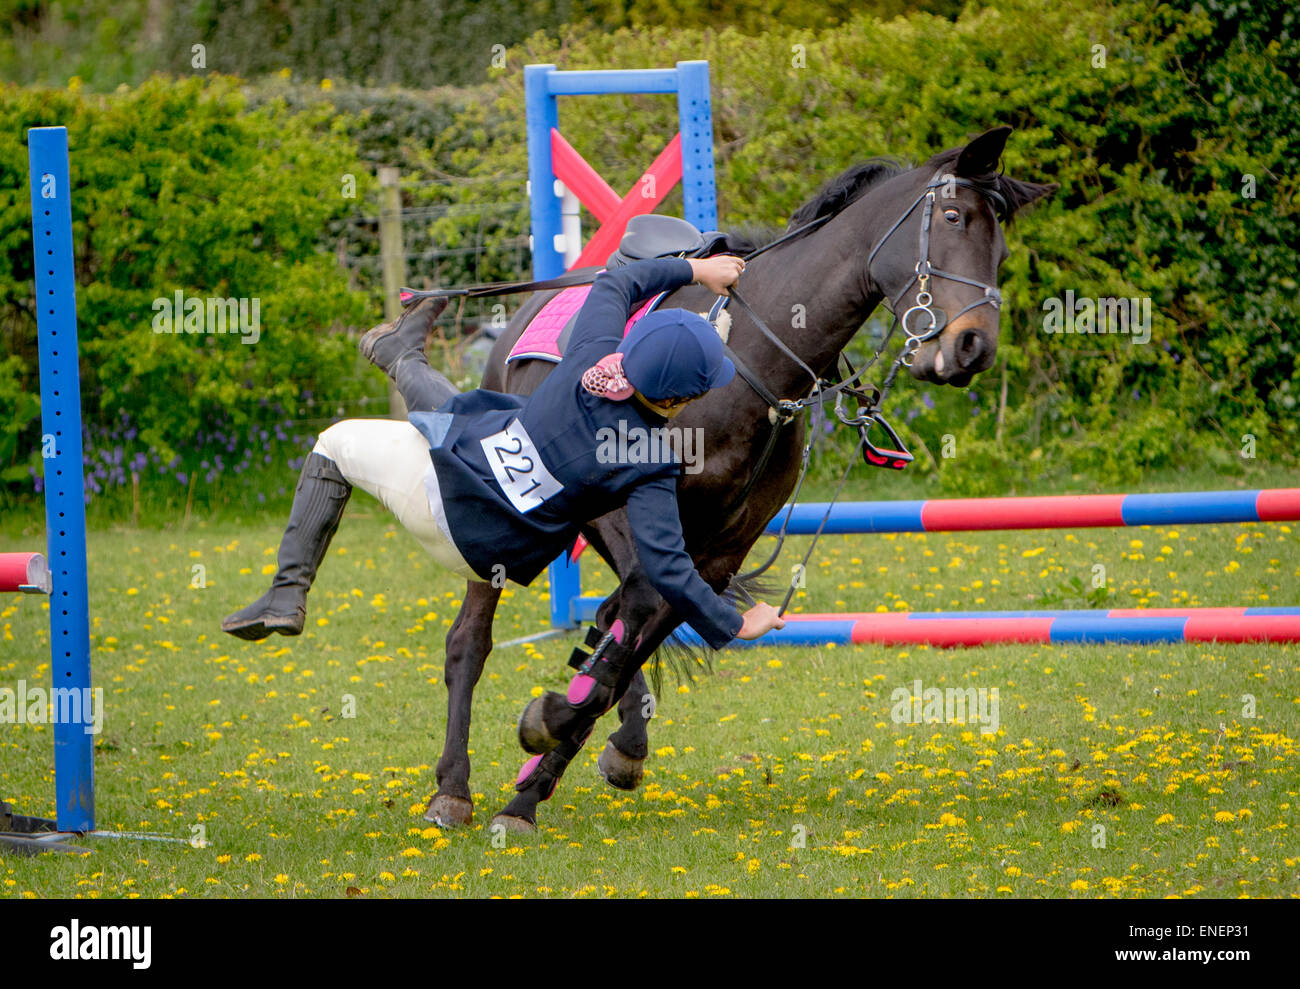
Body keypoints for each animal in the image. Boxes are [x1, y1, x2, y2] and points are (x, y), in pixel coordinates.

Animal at [422, 126, 1055, 831]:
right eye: (951, 219)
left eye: (1000, 249)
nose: (973, 346)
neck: (744, 357)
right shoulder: (628, 515)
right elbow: (629, 621)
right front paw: (542, 752)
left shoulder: (722, 549)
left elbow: (637, 634)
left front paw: (549, 768)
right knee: (471, 642)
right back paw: (454, 788)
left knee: (615, 619)